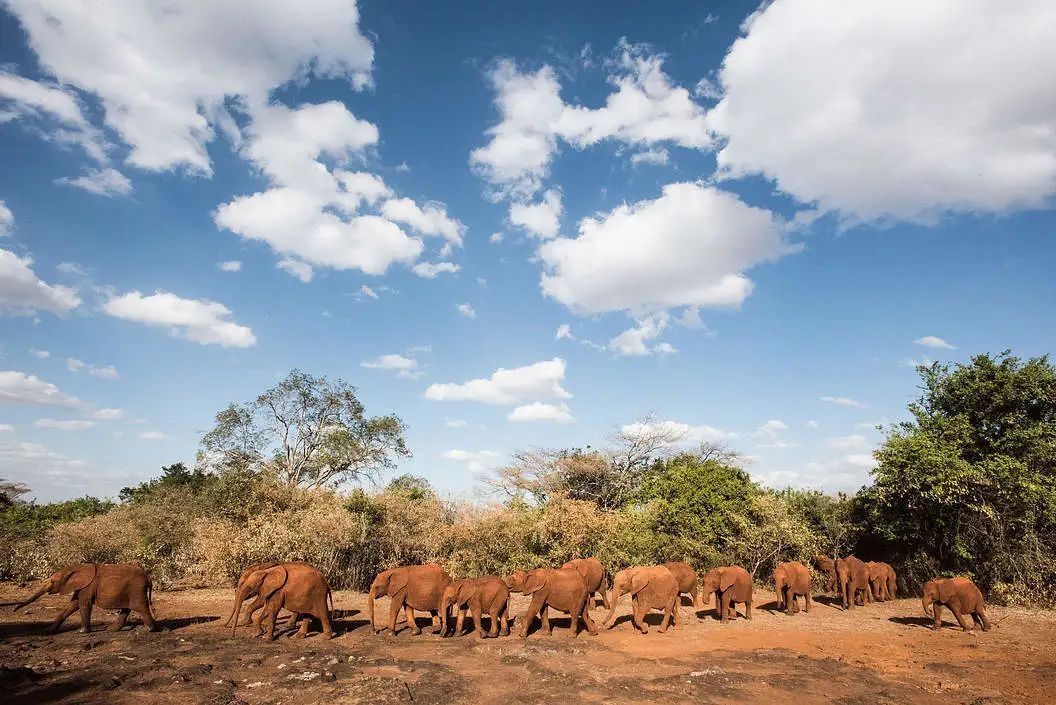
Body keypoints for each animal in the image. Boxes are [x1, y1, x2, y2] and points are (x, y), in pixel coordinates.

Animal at [12, 563, 156, 634]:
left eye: (52, 581)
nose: (14, 609)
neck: (75, 568)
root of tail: (148, 577)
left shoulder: (88, 586)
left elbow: (83, 604)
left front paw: (81, 632)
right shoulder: (81, 587)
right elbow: (72, 605)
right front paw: (47, 631)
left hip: (136, 589)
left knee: (140, 607)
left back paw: (147, 630)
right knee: (126, 609)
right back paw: (111, 630)